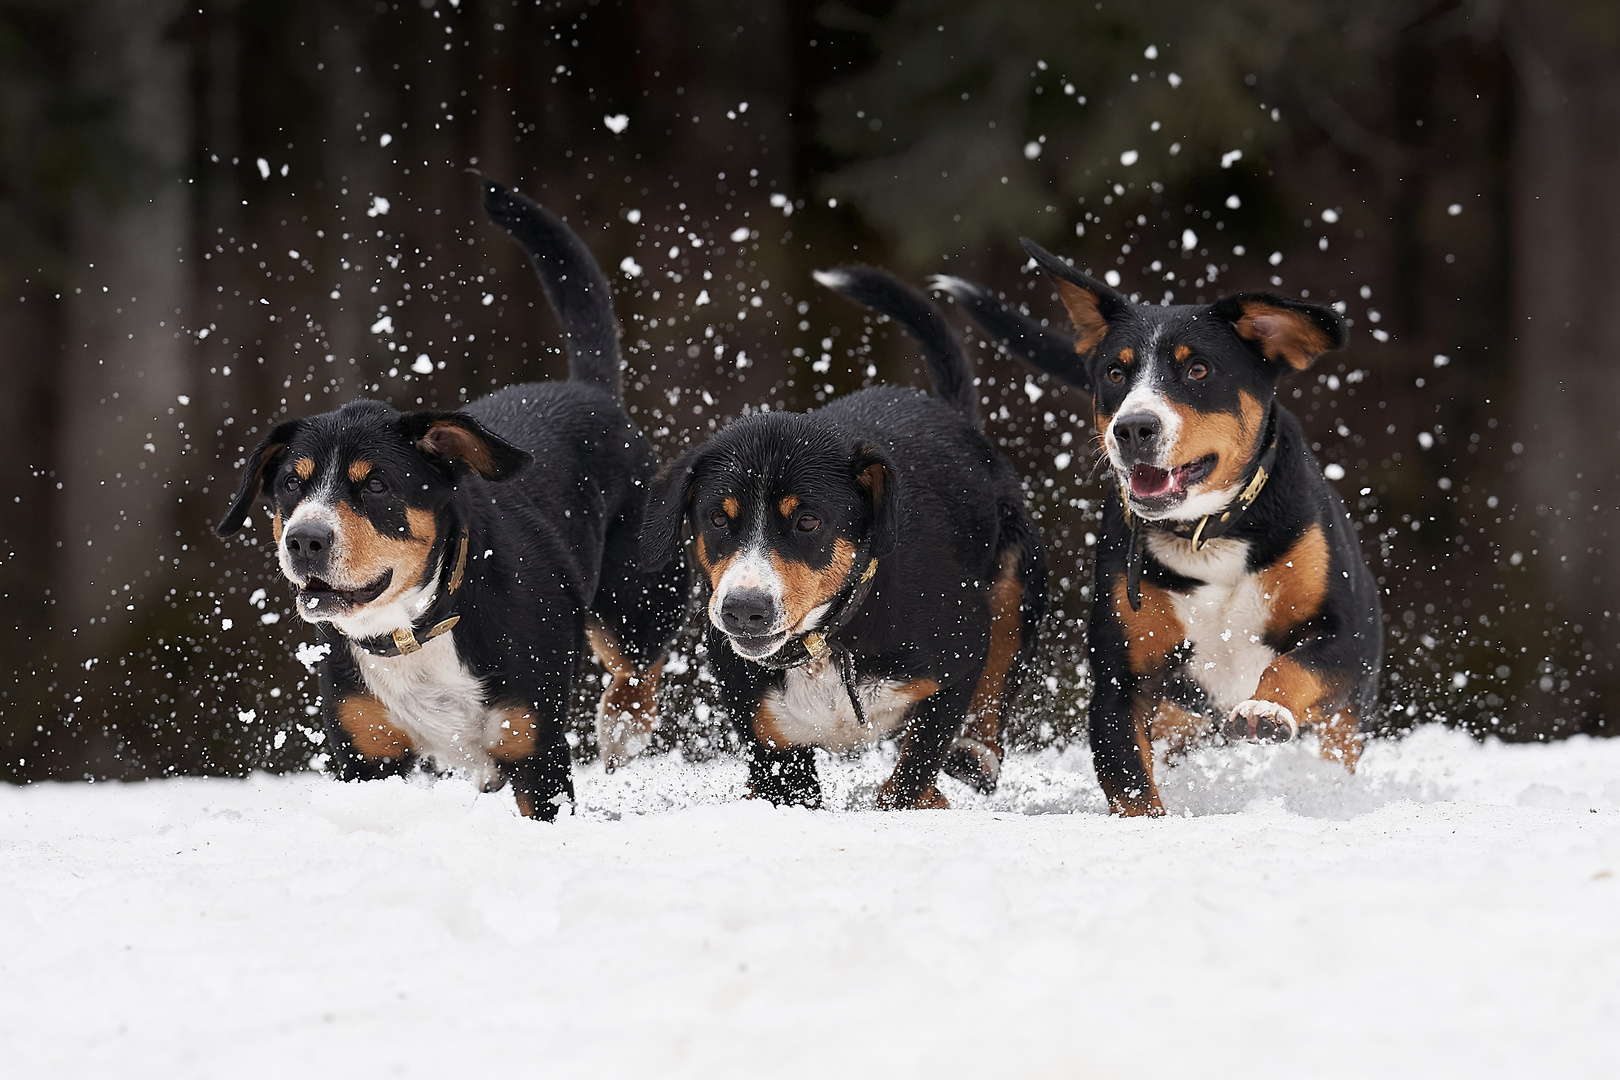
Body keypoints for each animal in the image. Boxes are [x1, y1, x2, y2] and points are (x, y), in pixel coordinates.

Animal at [213, 179, 683, 819]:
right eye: (291, 483)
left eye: (377, 484)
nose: (304, 539)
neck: (416, 630)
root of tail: (589, 392)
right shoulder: (363, 751)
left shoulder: (535, 747)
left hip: (636, 599)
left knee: (637, 671)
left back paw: (621, 728)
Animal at [638, 265, 1043, 806]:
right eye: (718, 520)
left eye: (808, 521)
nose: (744, 609)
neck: (825, 645)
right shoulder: (765, 731)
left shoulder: (961, 654)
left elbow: (916, 766)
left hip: (1017, 584)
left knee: (996, 683)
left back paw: (975, 753)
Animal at [939, 242, 1380, 819]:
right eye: (1115, 374)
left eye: (1197, 369)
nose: (1133, 428)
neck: (1205, 534)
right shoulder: (1120, 683)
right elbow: (1129, 780)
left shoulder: (1345, 638)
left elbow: (1293, 668)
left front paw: (1264, 708)